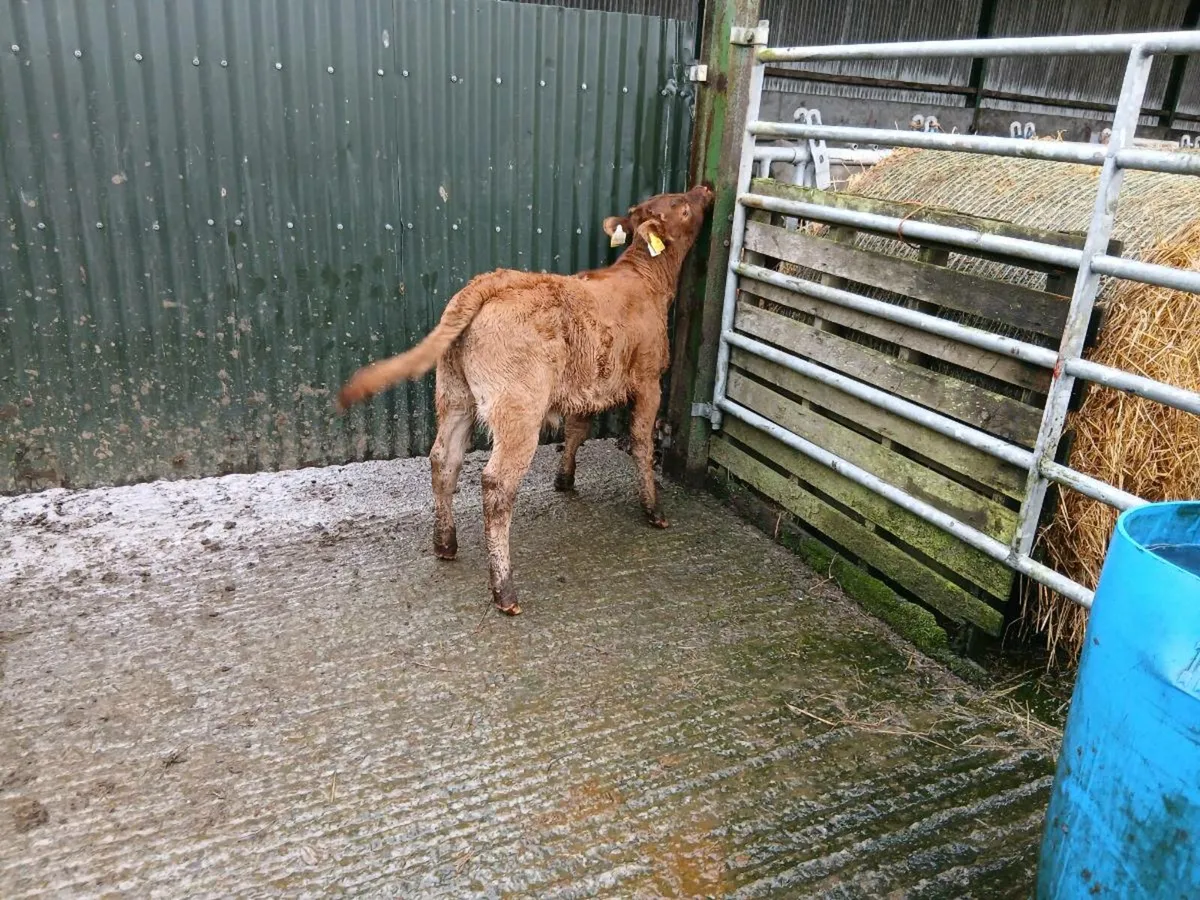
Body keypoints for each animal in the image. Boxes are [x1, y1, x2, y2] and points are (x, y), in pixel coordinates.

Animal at [337, 184, 714, 615]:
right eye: (681, 206)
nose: (704, 188)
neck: (644, 277)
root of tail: (492, 281)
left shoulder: (585, 385)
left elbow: (576, 431)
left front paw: (565, 480)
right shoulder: (649, 380)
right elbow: (641, 441)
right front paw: (653, 509)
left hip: (455, 394)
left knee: (443, 460)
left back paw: (445, 543)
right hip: (518, 409)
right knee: (497, 485)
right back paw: (504, 590)